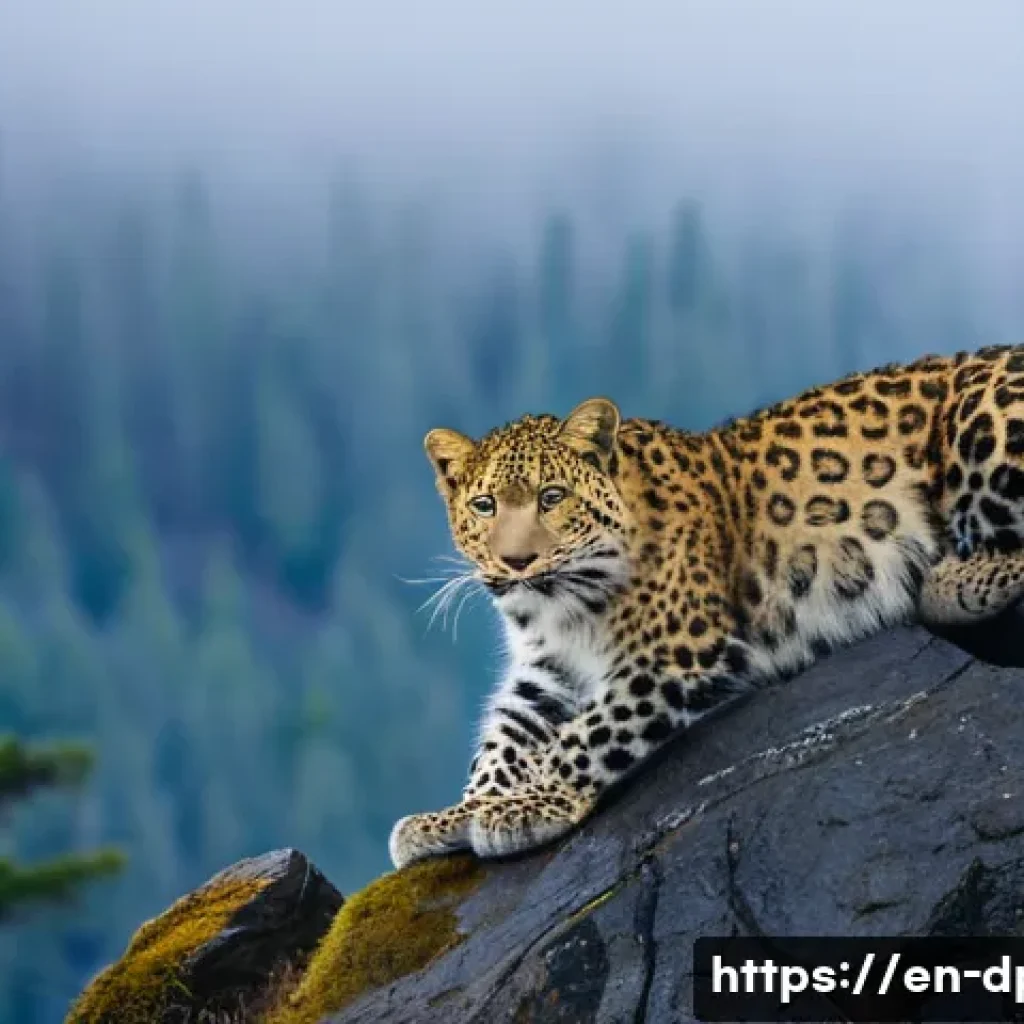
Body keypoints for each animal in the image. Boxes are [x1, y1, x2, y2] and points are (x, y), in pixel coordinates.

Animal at [389, 343, 1024, 870]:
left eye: (552, 497)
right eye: (485, 505)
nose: (515, 562)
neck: (563, 606)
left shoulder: (677, 652)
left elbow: (586, 735)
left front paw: (528, 804)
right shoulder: (544, 673)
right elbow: (498, 742)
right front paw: (452, 816)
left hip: (980, 411)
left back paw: (950, 579)